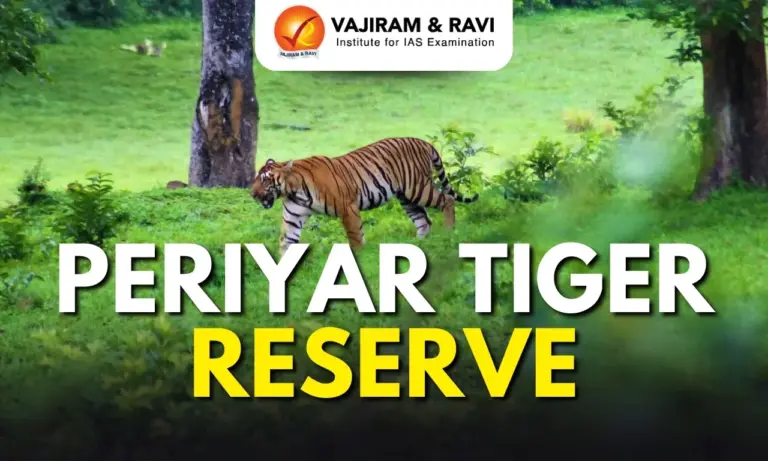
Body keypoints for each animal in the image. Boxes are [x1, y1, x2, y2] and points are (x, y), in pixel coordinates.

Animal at [250, 137, 479, 255]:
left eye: (265, 180)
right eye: (256, 178)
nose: (252, 194)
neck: (293, 190)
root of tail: (424, 142)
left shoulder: (347, 207)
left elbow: (355, 235)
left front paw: (358, 257)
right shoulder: (293, 217)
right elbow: (287, 241)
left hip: (417, 188)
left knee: (447, 200)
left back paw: (449, 231)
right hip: (406, 198)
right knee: (424, 220)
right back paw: (418, 245)